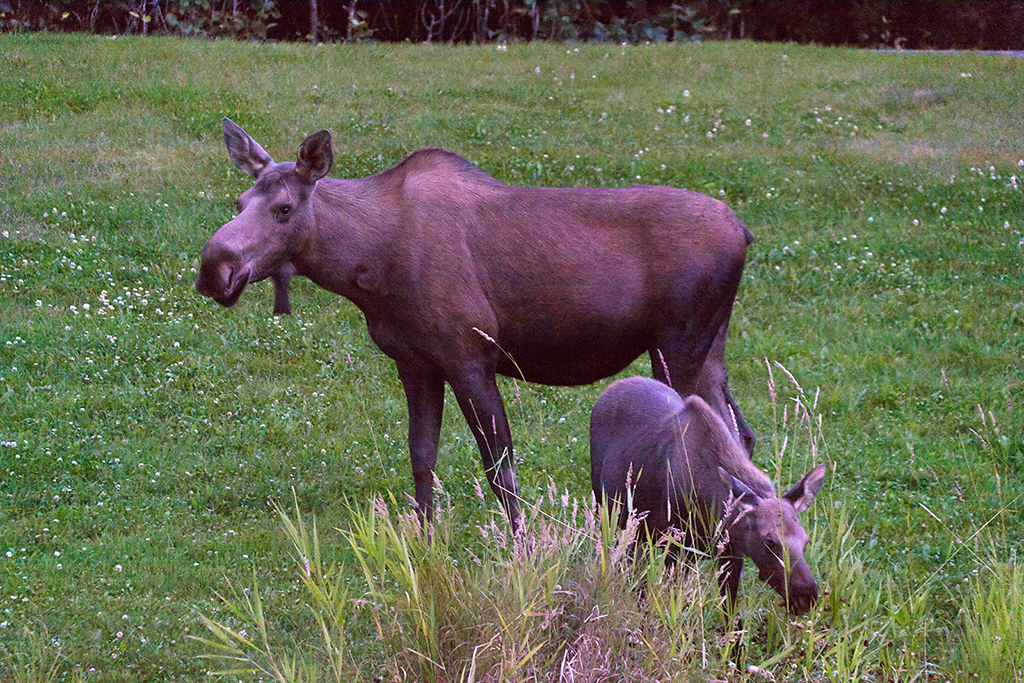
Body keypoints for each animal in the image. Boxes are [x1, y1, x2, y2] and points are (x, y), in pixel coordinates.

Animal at [195, 120, 753, 532]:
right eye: (239, 203)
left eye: (285, 208)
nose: (213, 267)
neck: (366, 264)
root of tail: (745, 233)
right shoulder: (415, 361)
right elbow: (422, 455)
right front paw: (422, 546)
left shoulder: (469, 355)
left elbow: (500, 470)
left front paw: (523, 553)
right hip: (709, 348)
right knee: (739, 436)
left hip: (678, 346)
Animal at [593, 376, 823, 618]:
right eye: (770, 541)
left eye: (806, 541)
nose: (806, 596)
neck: (712, 513)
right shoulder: (678, 547)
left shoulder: (731, 554)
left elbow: (730, 615)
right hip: (608, 511)